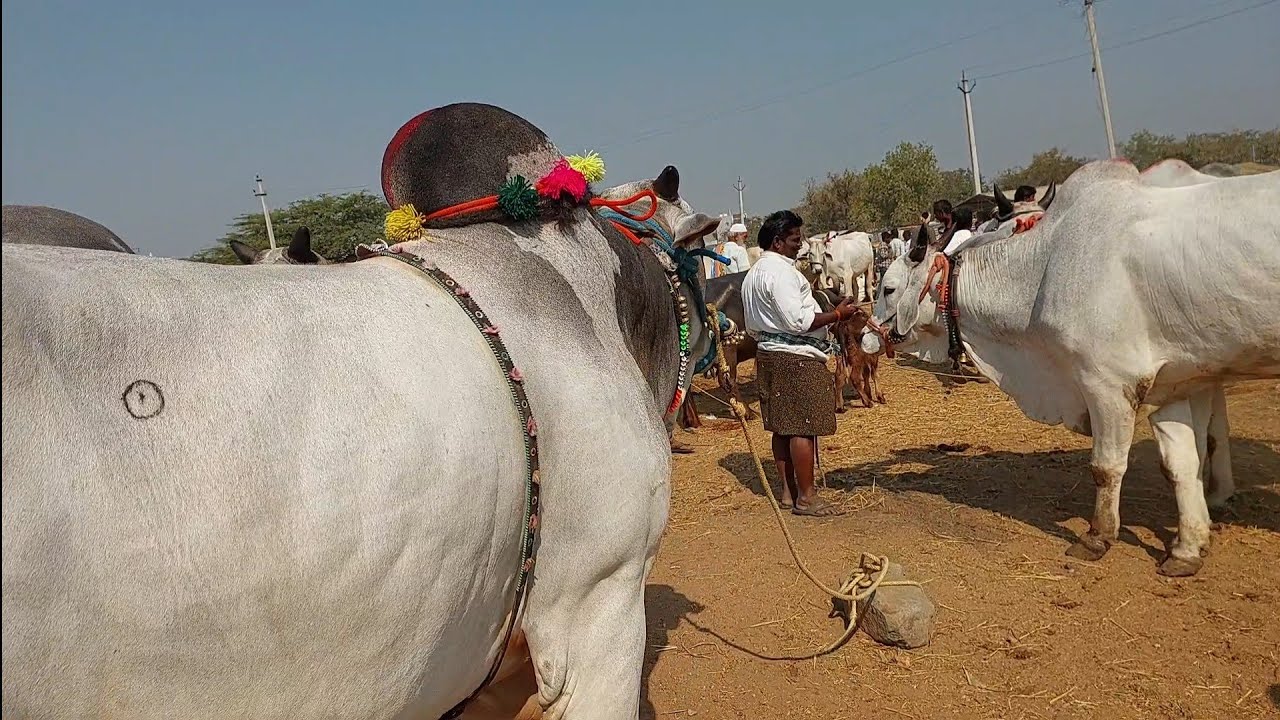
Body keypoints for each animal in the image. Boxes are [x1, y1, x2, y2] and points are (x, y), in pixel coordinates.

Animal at [861, 159, 1280, 577]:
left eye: (889, 288)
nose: (866, 338)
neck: (1041, 271)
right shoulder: (1171, 385)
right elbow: (1182, 464)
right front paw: (1187, 548)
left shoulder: (1108, 385)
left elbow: (1106, 467)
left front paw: (1097, 537)